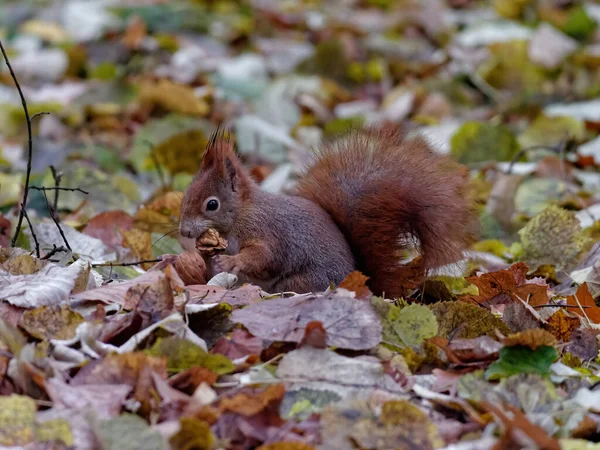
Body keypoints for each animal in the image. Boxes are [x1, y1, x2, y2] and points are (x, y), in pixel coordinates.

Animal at [179, 125, 478, 298]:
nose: (184, 230)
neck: (242, 213)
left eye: (212, 204)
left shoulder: (267, 230)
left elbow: (263, 256)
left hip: (303, 281)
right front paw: (208, 256)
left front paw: (231, 261)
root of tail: (363, 283)